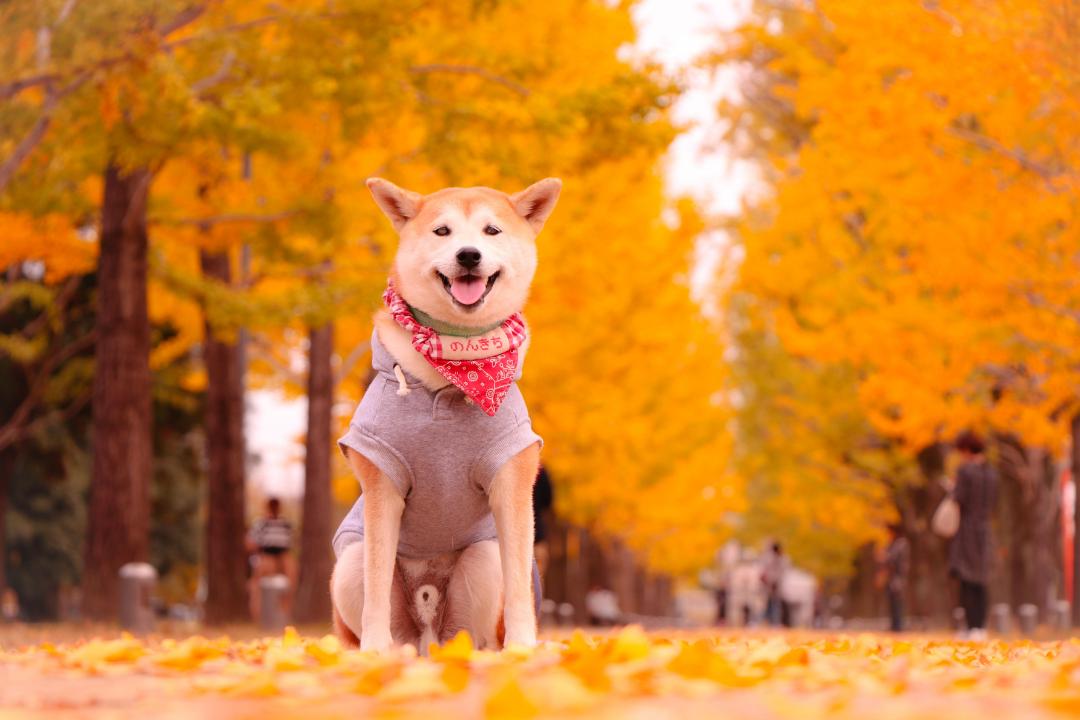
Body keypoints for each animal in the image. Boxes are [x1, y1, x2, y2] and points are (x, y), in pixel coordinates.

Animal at [332, 175, 561, 651]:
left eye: (491, 231)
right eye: (442, 231)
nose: (468, 254)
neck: (455, 367)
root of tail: (427, 636)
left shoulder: (512, 479)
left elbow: (520, 582)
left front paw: (523, 647)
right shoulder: (381, 481)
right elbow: (376, 580)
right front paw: (373, 651)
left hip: (482, 558)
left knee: (473, 630)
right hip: (348, 560)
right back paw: (385, 649)